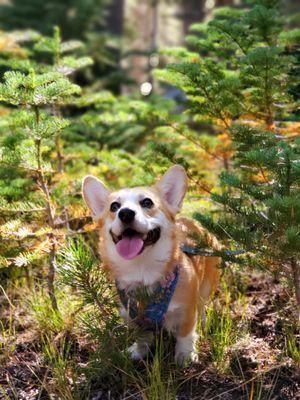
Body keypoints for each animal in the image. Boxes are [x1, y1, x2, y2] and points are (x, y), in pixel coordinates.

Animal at [82, 164, 220, 364]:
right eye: (114, 206)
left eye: (147, 202)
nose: (125, 213)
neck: (141, 269)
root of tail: (197, 224)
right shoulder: (132, 316)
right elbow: (142, 337)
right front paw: (139, 352)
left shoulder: (187, 310)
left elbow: (185, 335)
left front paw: (185, 356)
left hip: (206, 288)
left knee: (202, 308)